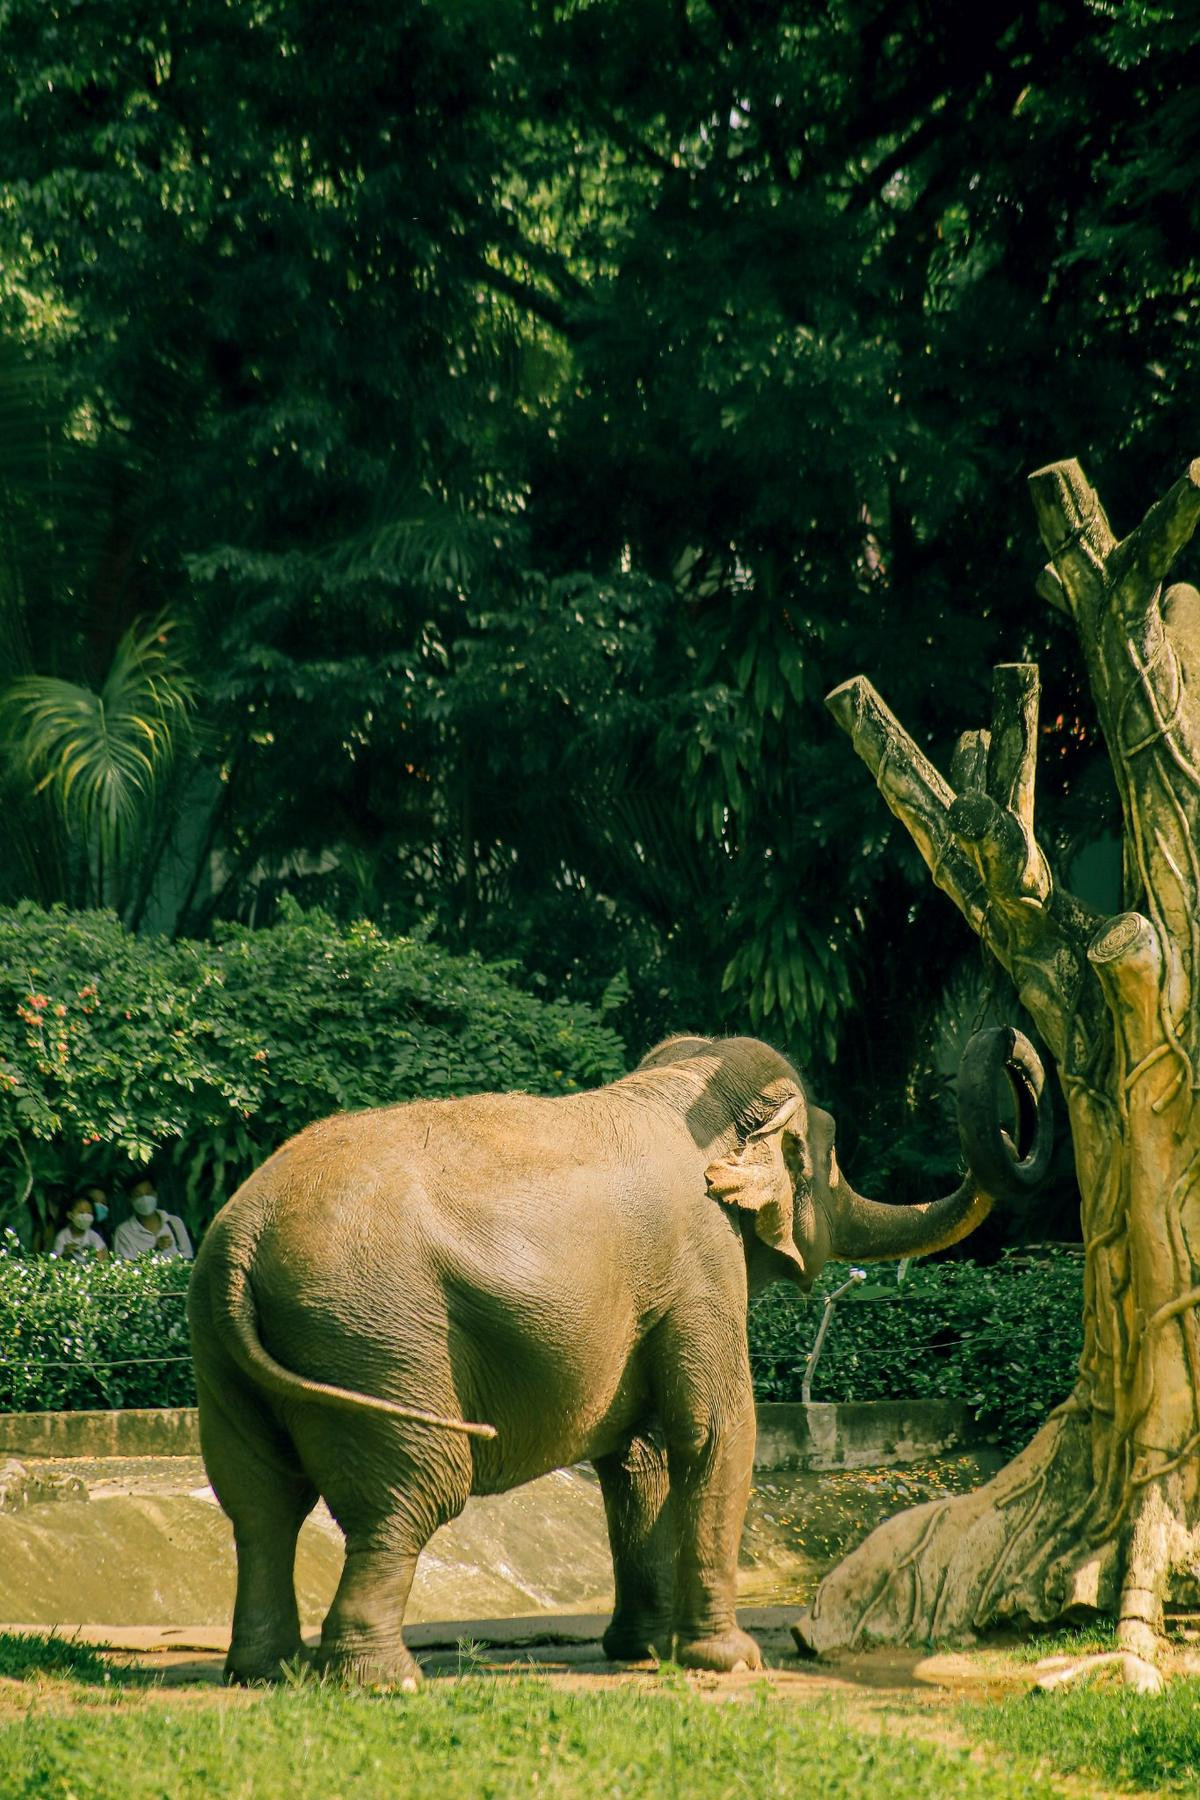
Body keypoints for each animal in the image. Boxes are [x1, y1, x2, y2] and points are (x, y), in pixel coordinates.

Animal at [188, 1029, 1050, 1684]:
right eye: (830, 1156)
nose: (1013, 1049)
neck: (681, 1088)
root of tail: (242, 1237)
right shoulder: (702, 1262)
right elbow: (717, 1433)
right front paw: (730, 1662)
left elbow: (639, 1461)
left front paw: (640, 1653)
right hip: (378, 1337)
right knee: (414, 1492)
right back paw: (383, 1682)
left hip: (225, 1350)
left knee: (259, 1503)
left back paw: (263, 1672)